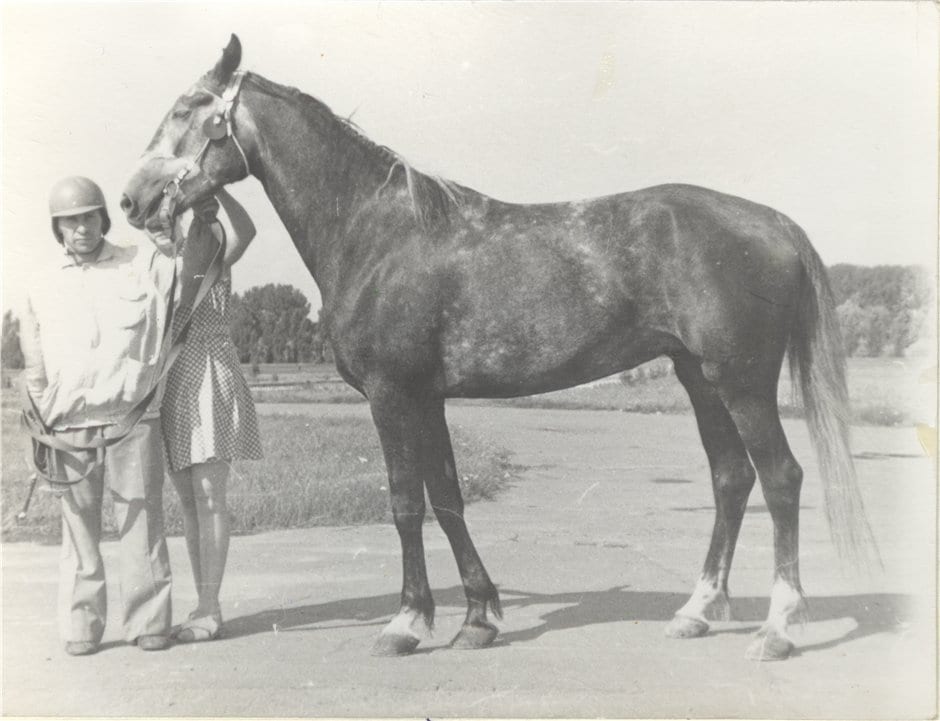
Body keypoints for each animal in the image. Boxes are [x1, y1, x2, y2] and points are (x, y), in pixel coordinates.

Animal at [121, 36, 876, 660]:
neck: (377, 231)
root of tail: (771, 220)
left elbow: (405, 501)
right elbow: (448, 498)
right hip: (700, 379)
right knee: (731, 479)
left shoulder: (394, 395)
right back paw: (696, 611)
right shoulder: (427, 398)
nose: (132, 199)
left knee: (781, 479)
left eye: (188, 109)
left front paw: (405, 624)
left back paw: (779, 627)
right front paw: (478, 618)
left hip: (742, 382)